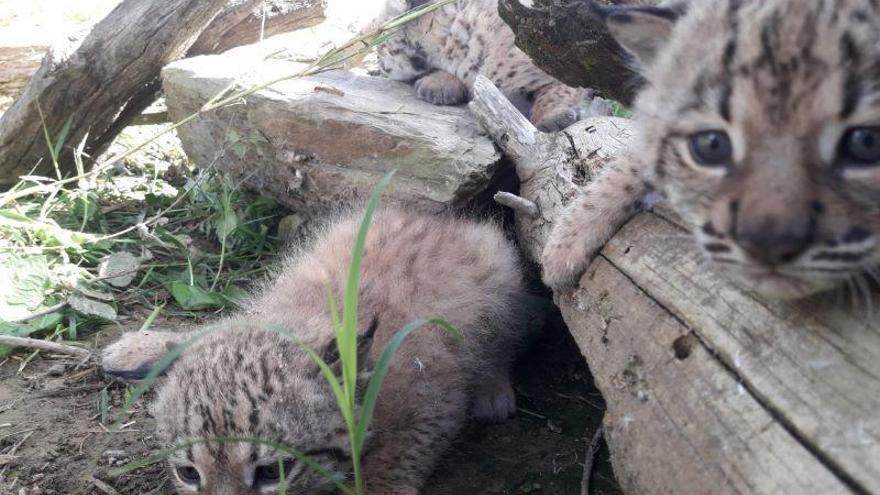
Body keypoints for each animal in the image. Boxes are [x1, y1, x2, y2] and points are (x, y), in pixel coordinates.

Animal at [103, 209, 528, 495]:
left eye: (271, 473)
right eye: (189, 474)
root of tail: (442, 221)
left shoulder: (432, 399)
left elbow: (395, 456)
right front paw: (148, 346)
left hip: (500, 267)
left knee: (508, 334)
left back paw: (492, 390)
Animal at [372, 0, 584, 132]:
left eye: (378, 37)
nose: (378, 62)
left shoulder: (559, 62)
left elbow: (557, 90)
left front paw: (552, 118)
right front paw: (439, 84)